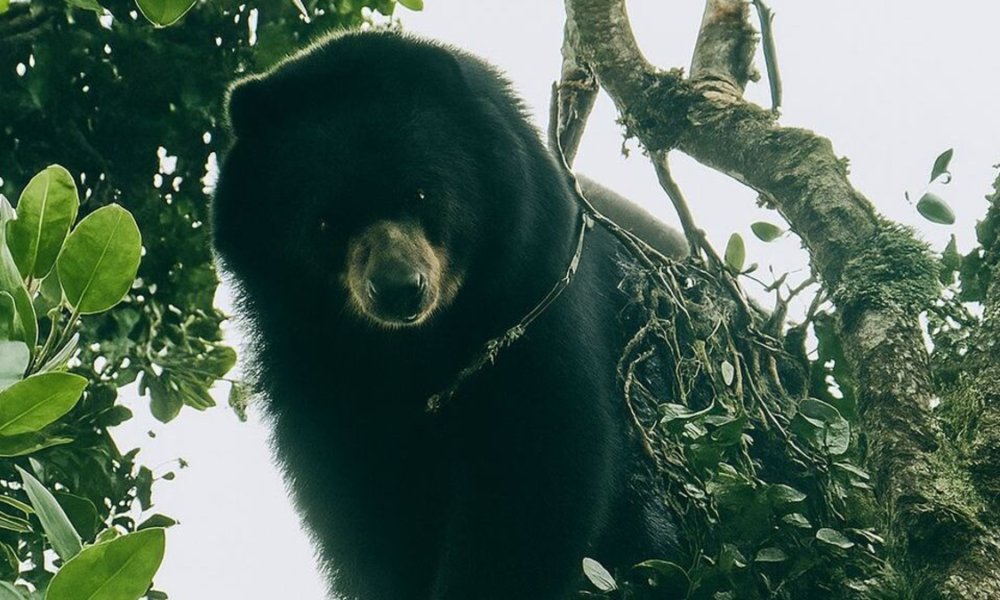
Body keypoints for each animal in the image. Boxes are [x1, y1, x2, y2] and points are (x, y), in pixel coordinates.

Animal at [212, 31, 685, 600]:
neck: (415, 346)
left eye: (419, 191)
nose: (398, 289)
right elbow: (359, 503)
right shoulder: (312, 371)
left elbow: (539, 467)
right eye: (326, 222)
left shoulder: (535, 299)